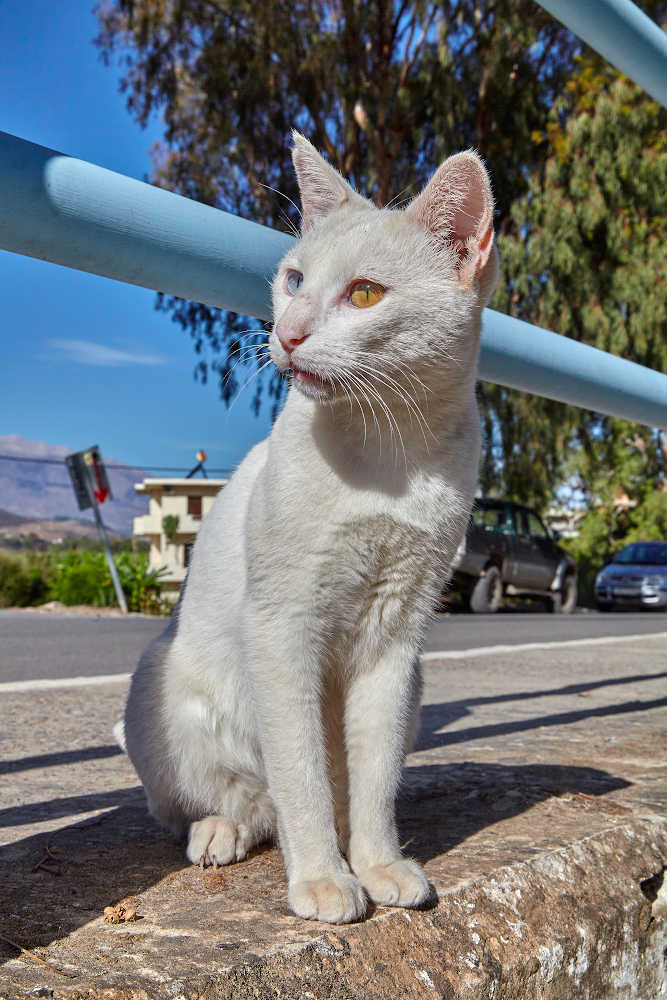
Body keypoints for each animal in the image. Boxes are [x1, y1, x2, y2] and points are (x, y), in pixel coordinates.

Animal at [117, 133, 498, 920]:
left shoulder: (396, 633)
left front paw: (377, 865)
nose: (286, 335)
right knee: (239, 802)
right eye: (293, 279)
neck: (391, 453)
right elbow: (302, 775)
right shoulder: (280, 625)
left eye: (364, 294)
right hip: (157, 691)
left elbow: (372, 775)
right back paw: (222, 833)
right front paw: (323, 879)